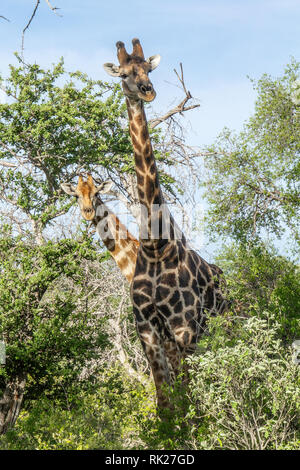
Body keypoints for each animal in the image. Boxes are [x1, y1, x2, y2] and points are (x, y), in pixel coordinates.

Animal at [103, 39, 230, 408]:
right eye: (125, 73)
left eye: (148, 68)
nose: (147, 91)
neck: (155, 244)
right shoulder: (147, 330)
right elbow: (166, 406)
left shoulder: (183, 329)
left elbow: (188, 403)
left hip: (220, 327)